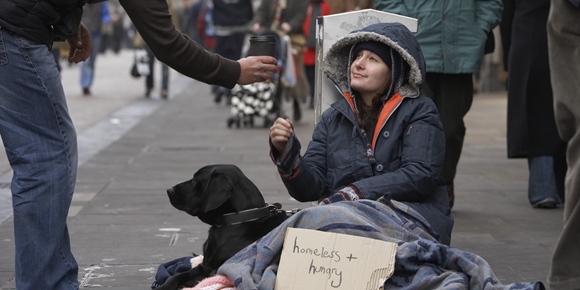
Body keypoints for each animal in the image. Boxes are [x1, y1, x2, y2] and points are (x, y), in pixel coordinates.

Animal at [156, 164, 290, 288]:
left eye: (195, 180)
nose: (169, 190)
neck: (236, 220)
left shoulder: (217, 267)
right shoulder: (204, 266)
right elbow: (176, 276)